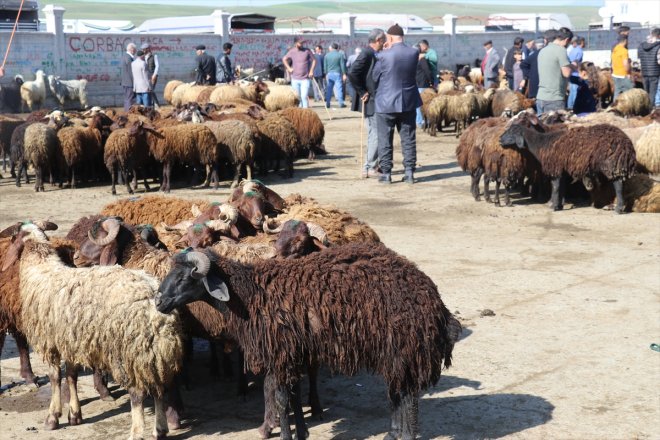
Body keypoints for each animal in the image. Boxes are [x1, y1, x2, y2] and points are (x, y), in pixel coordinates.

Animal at [2, 222, 184, 438]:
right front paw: (75, 415)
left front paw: (53, 417)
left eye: (13, 238)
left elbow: (55, 377)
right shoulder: (70, 340)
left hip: (128, 351)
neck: (40, 268)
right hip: (152, 354)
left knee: (138, 393)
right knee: (158, 389)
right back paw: (160, 430)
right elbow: (71, 376)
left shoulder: (50, 341)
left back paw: (137, 433)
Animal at [157, 244, 462, 440]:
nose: (159, 302)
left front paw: (286, 435)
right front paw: (301, 432)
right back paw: (392, 433)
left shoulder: (280, 353)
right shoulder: (296, 352)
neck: (251, 295)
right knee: (397, 392)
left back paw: (406, 434)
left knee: (408, 395)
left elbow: (280, 398)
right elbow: (294, 395)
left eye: (185, 277)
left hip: (405, 347)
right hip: (394, 351)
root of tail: (435, 302)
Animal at [500, 115, 640, 213]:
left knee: (618, 185)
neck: (542, 144)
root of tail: (627, 144)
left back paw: (618, 209)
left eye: (512, 131)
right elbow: (561, 188)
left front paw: (554, 206)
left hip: (611, 164)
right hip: (616, 165)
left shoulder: (556, 168)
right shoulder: (563, 171)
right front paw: (560, 205)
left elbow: (555, 188)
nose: (500, 139)